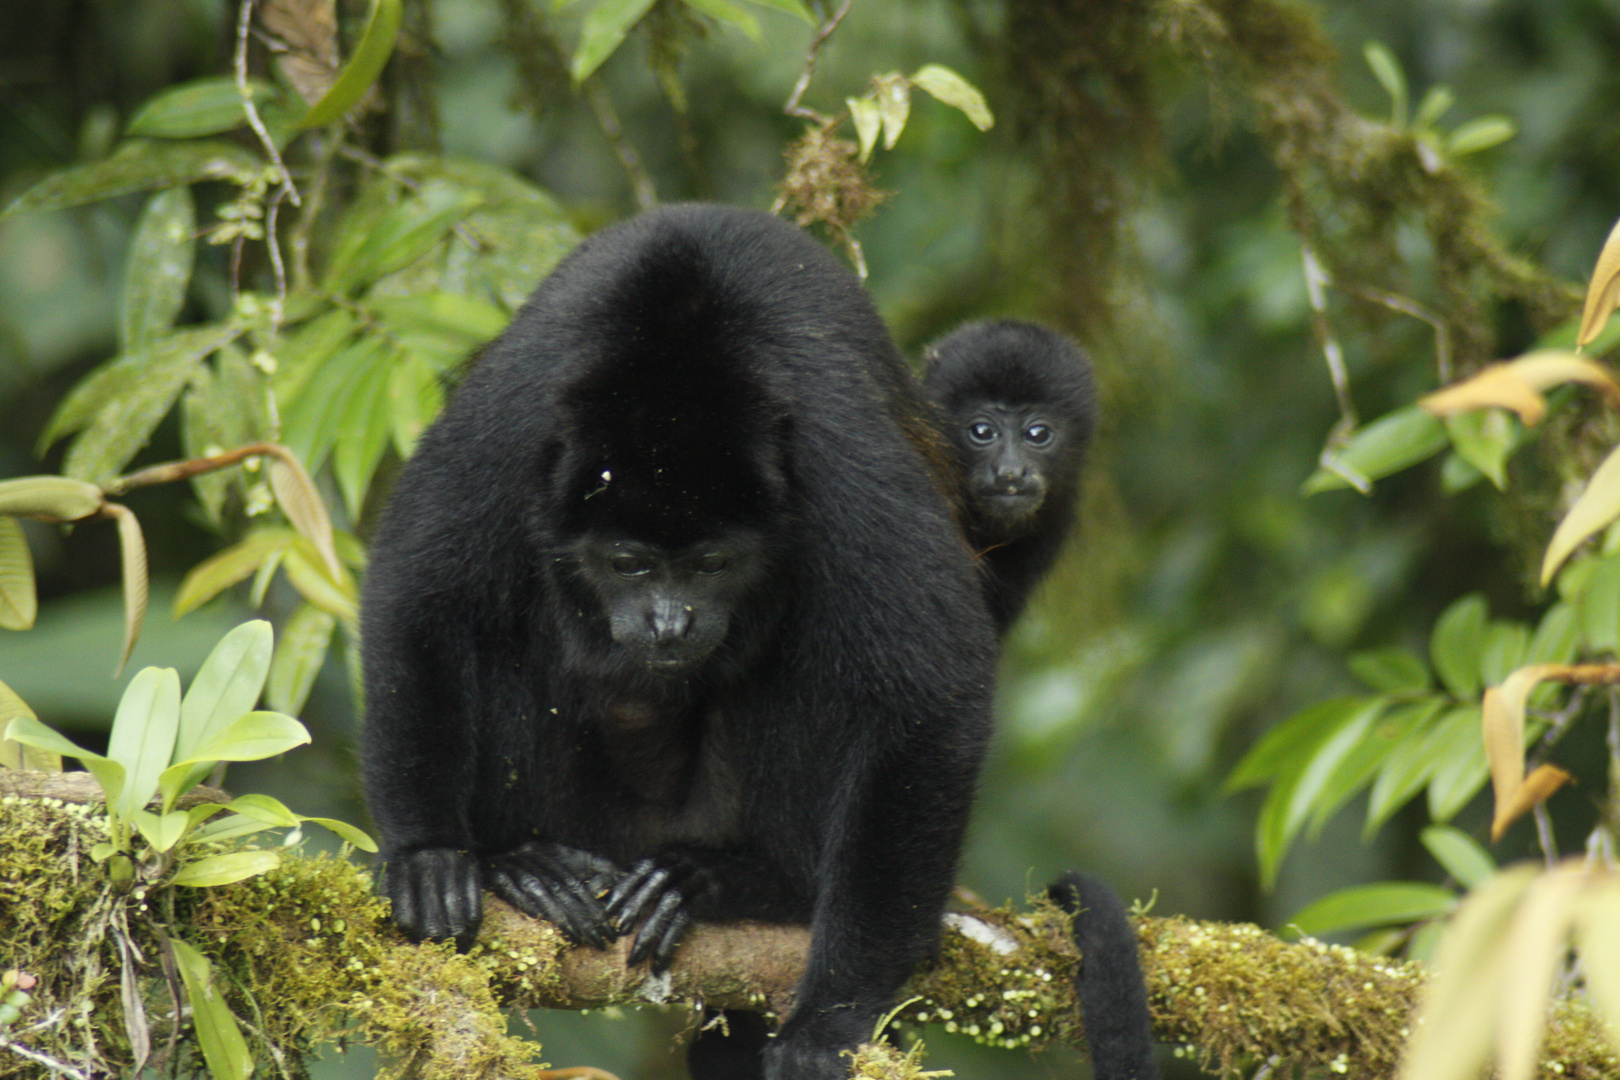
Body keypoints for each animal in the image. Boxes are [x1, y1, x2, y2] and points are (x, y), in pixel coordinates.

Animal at [364, 202, 997, 1080]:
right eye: (628, 563)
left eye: (711, 564)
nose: (670, 621)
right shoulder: (516, 421)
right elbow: (421, 591)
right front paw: (430, 856)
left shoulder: (839, 458)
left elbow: (931, 690)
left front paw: (831, 1017)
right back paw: (525, 866)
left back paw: (738, 882)